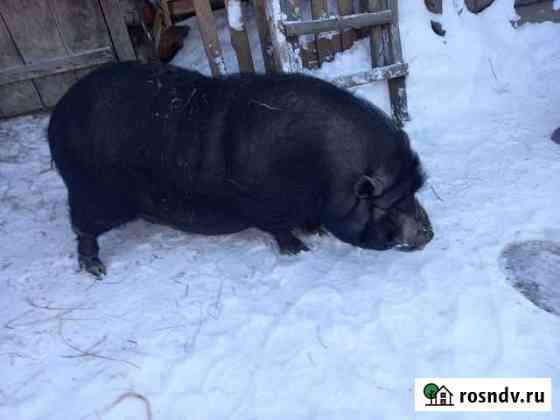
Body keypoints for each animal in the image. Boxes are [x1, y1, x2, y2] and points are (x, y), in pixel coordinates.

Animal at [48, 61, 434, 276]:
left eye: (414, 190)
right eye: (388, 204)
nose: (429, 234)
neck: (325, 175)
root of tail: (58, 113)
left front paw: (318, 234)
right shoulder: (270, 207)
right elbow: (280, 231)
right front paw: (300, 250)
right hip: (90, 195)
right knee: (82, 231)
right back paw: (96, 270)